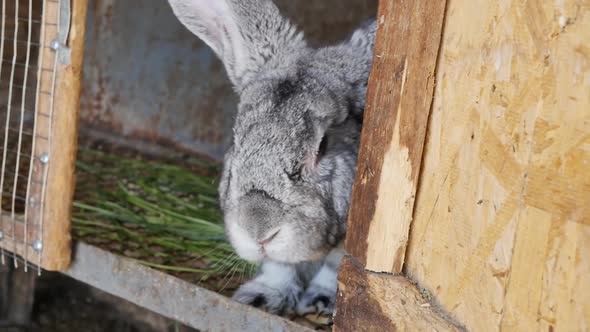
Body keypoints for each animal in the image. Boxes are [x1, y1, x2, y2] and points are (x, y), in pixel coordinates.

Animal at [169, 0, 376, 316]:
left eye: (323, 145)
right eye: (235, 139)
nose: (258, 230)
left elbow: (335, 267)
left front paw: (320, 302)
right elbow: (279, 267)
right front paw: (261, 297)